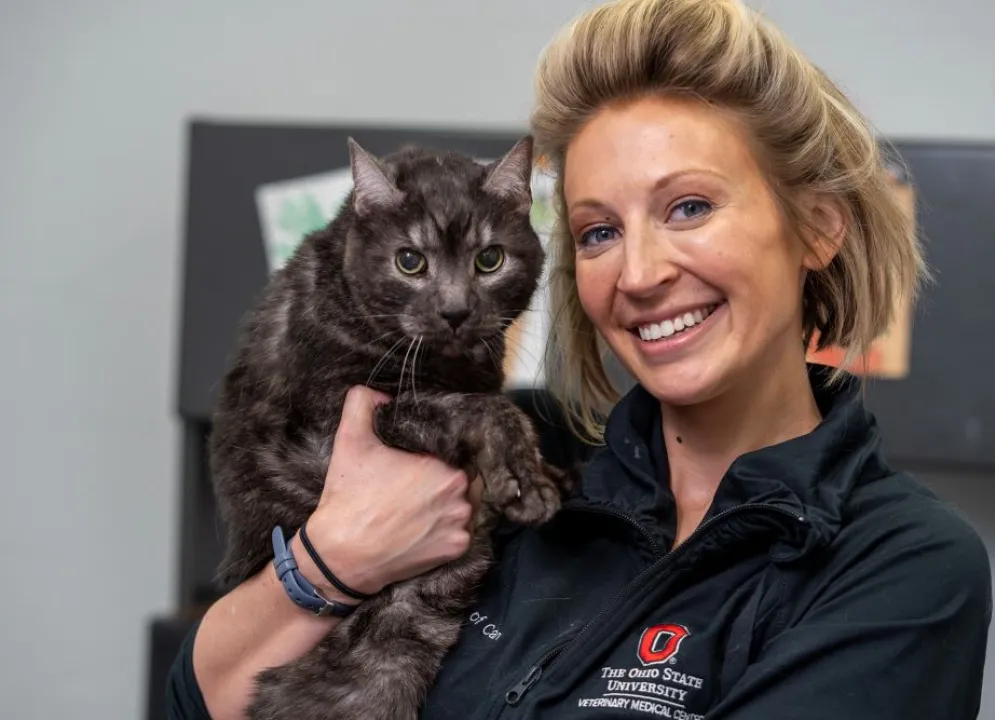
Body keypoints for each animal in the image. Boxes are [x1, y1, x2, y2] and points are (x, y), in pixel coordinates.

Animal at [210, 136, 568, 720]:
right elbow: (483, 409)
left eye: (489, 259)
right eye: (409, 261)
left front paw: (546, 473)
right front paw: (525, 481)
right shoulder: (348, 413)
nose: (455, 311)